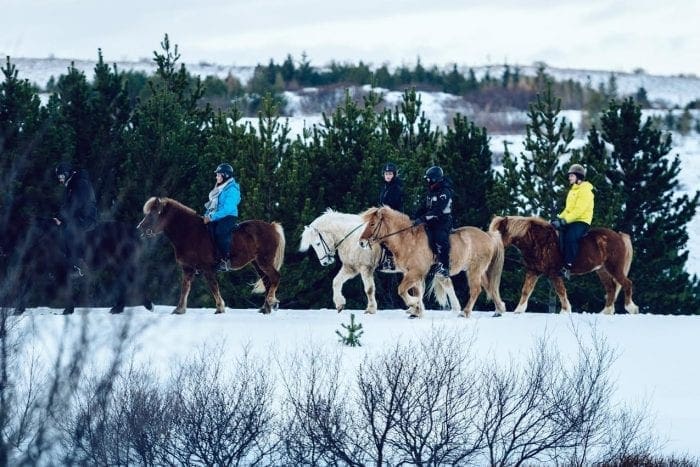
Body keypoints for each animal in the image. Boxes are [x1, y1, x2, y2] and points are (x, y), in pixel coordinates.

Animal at [138, 197, 286, 314]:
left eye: (153, 214)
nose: (139, 228)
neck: (190, 233)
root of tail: (272, 227)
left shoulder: (207, 268)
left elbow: (213, 287)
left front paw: (220, 308)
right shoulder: (188, 268)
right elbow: (185, 288)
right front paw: (179, 309)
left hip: (264, 261)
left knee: (275, 277)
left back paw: (270, 302)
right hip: (257, 263)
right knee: (268, 281)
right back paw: (266, 308)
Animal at [360, 207, 504, 318]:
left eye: (372, 224)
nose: (361, 242)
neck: (408, 239)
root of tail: (488, 236)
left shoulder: (415, 273)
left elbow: (401, 290)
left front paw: (414, 305)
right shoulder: (412, 274)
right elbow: (416, 291)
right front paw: (416, 310)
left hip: (474, 270)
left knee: (475, 290)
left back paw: (465, 312)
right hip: (479, 272)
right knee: (490, 287)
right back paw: (499, 310)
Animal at [490, 216, 636, 314]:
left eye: (499, 232)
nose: (493, 247)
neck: (540, 241)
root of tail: (619, 235)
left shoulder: (554, 273)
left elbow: (560, 291)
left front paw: (565, 310)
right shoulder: (533, 271)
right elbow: (526, 290)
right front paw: (518, 310)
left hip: (614, 268)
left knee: (627, 283)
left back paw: (631, 308)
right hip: (602, 270)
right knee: (611, 288)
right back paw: (606, 311)